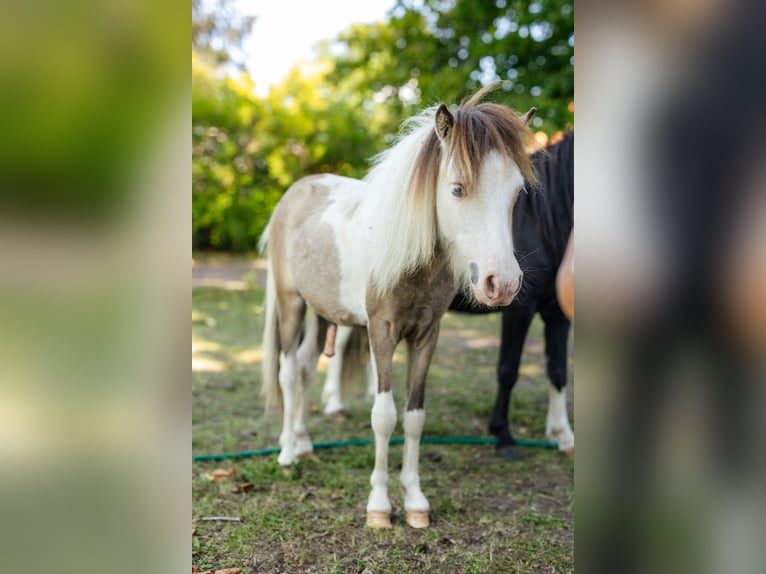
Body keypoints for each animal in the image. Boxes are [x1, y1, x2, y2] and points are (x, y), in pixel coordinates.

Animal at [259, 88, 537, 529]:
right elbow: (384, 415)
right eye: (457, 189)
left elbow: (414, 416)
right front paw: (378, 507)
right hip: (292, 305)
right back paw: (287, 453)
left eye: (516, 194)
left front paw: (416, 502)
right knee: (288, 373)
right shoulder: (382, 331)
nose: (503, 284)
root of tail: (296, 192)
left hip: (323, 313)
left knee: (303, 369)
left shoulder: (426, 335)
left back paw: (304, 444)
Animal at [449, 131, 574, 460]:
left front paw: (562, 435)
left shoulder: (557, 313)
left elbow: (558, 370)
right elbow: (508, 370)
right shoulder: (519, 308)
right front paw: (503, 436)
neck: (543, 219)